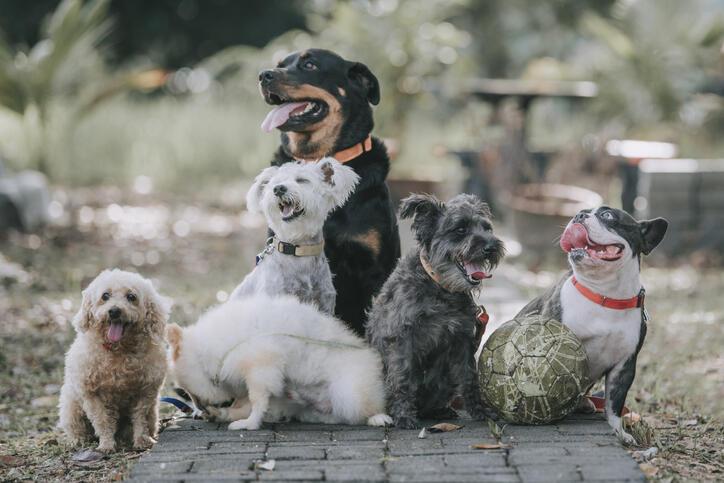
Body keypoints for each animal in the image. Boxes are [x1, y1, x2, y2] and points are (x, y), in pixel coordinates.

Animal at [58, 270, 171, 452]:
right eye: (105, 296)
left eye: (131, 297)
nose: (114, 311)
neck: (119, 351)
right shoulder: (92, 395)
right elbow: (102, 421)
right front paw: (106, 445)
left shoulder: (145, 391)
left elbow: (140, 418)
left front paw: (141, 440)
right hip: (71, 407)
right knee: (77, 427)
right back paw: (78, 440)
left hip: (153, 411)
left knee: (149, 422)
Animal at [165, 296, 390, 430]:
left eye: (191, 393)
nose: (198, 407)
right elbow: (246, 404)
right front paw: (224, 414)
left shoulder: (261, 367)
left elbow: (256, 402)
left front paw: (249, 423)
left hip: (349, 394)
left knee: (360, 411)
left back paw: (378, 418)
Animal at [368, 192, 504, 428]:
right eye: (460, 229)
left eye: (487, 228)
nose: (490, 247)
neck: (440, 287)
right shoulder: (401, 337)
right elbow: (402, 377)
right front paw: (403, 415)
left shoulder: (462, 340)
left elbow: (469, 377)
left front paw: (480, 411)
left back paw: (441, 411)